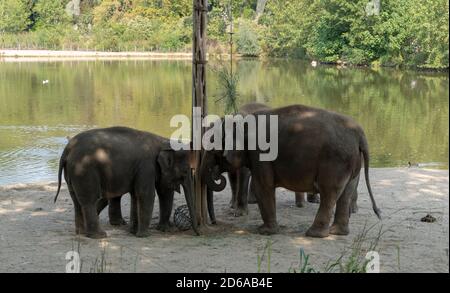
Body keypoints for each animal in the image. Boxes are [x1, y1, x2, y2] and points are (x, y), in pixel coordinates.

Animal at [53, 125, 198, 237]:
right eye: (186, 172)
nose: (198, 234)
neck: (163, 140)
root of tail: (67, 150)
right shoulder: (146, 166)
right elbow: (146, 195)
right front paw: (144, 235)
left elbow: (144, 194)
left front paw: (134, 232)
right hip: (84, 170)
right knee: (89, 201)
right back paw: (100, 236)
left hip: (73, 173)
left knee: (77, 201)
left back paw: (82, 233)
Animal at [202, 104, 382, 236]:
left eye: (212, 148)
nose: (214, 222)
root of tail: (360, 134)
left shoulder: (261, 155)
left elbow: (263, 187)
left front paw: (264, 231)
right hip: (351, 162)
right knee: (346, 191)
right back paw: (337, 232)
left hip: (335, 161)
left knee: (329, 192)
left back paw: (313, 234)